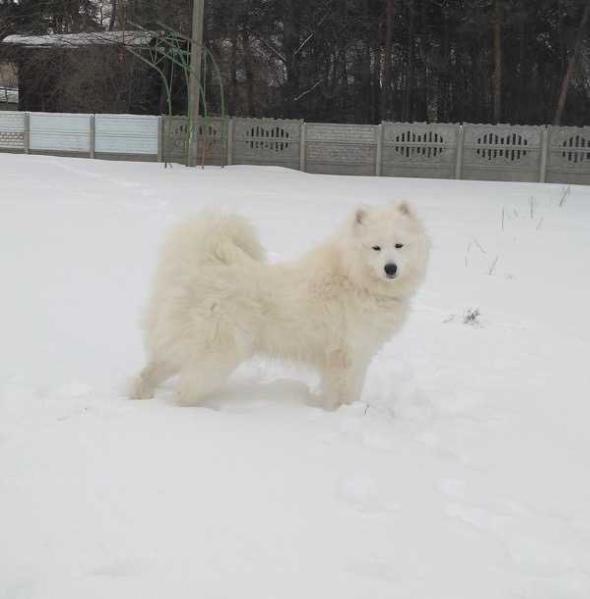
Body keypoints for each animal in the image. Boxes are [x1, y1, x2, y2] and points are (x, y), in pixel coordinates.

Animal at [132, 204, 430, 410]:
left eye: (399, 245)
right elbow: (347, 392)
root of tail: (201, 265)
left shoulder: (352, 356)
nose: (390, 268)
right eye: (375, 248)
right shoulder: (348, 355)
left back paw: (141, 396)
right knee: (184, 391)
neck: (353, 277)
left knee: (150, 371)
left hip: (183, 347)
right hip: (218, 353)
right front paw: (346, 413)